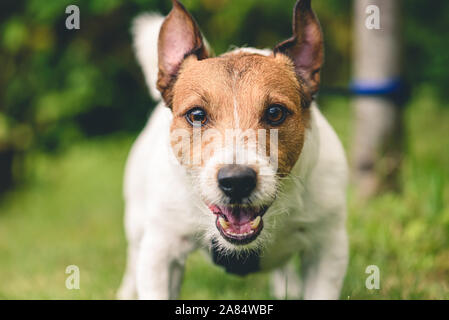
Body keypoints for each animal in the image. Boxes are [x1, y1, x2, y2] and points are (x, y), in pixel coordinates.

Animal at [117, 0, 348, 300]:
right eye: (196, 115)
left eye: (275, 112)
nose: (237, 181)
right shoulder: (160, 252)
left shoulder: (328, 248)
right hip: (136, 228)